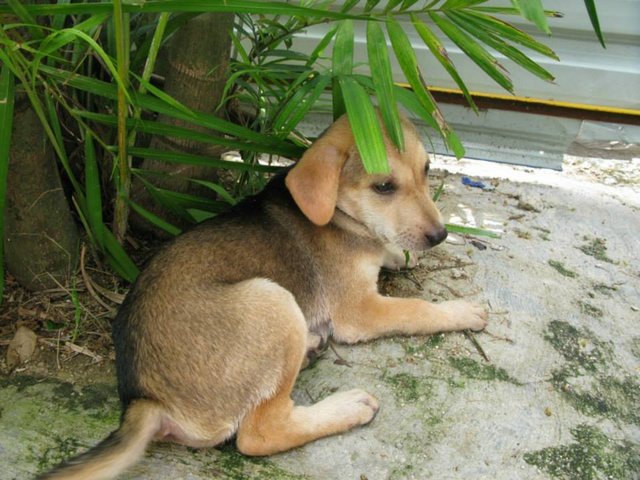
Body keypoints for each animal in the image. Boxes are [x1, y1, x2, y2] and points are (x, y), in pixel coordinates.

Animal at [38, 114, 484, 478]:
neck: (342, 217)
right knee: (260, 433)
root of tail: (143, 399)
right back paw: (346, 406)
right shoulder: (360, 311)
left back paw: (312, 347)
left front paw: (400, 253)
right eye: (384, 187)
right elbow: (418, 308)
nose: (440, 235)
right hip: (272, 300)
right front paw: (462, 311)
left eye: (427, 170)